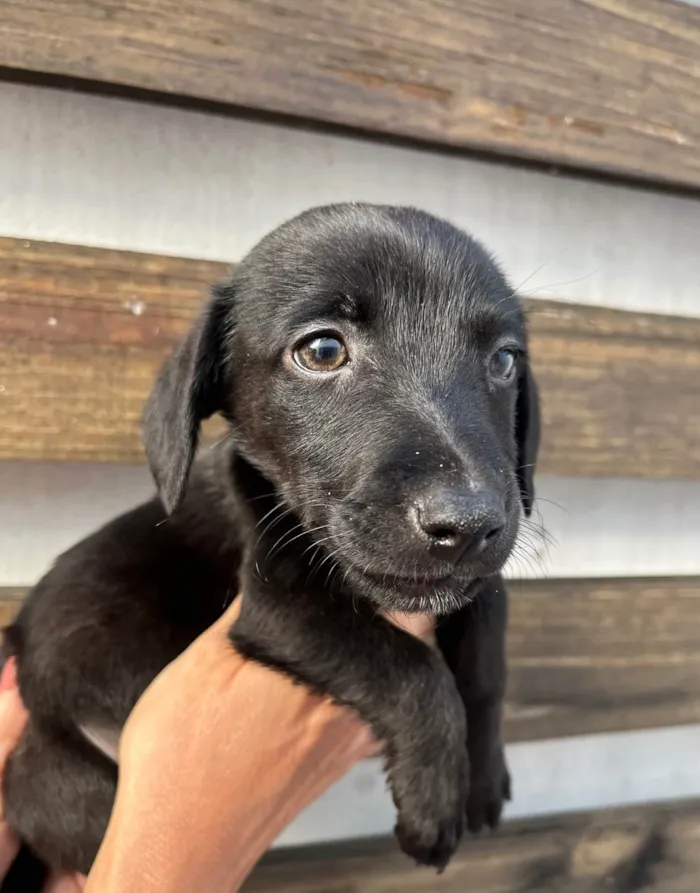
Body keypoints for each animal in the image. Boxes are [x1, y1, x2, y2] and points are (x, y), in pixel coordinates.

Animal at [1, 204, 540, 884]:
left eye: (504, 361)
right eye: (323, 350)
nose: (469, 523)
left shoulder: (478, 582)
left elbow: (489, 649)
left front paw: (483, 777)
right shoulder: (279, 607)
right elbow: (414, 670)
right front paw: (435, 800)